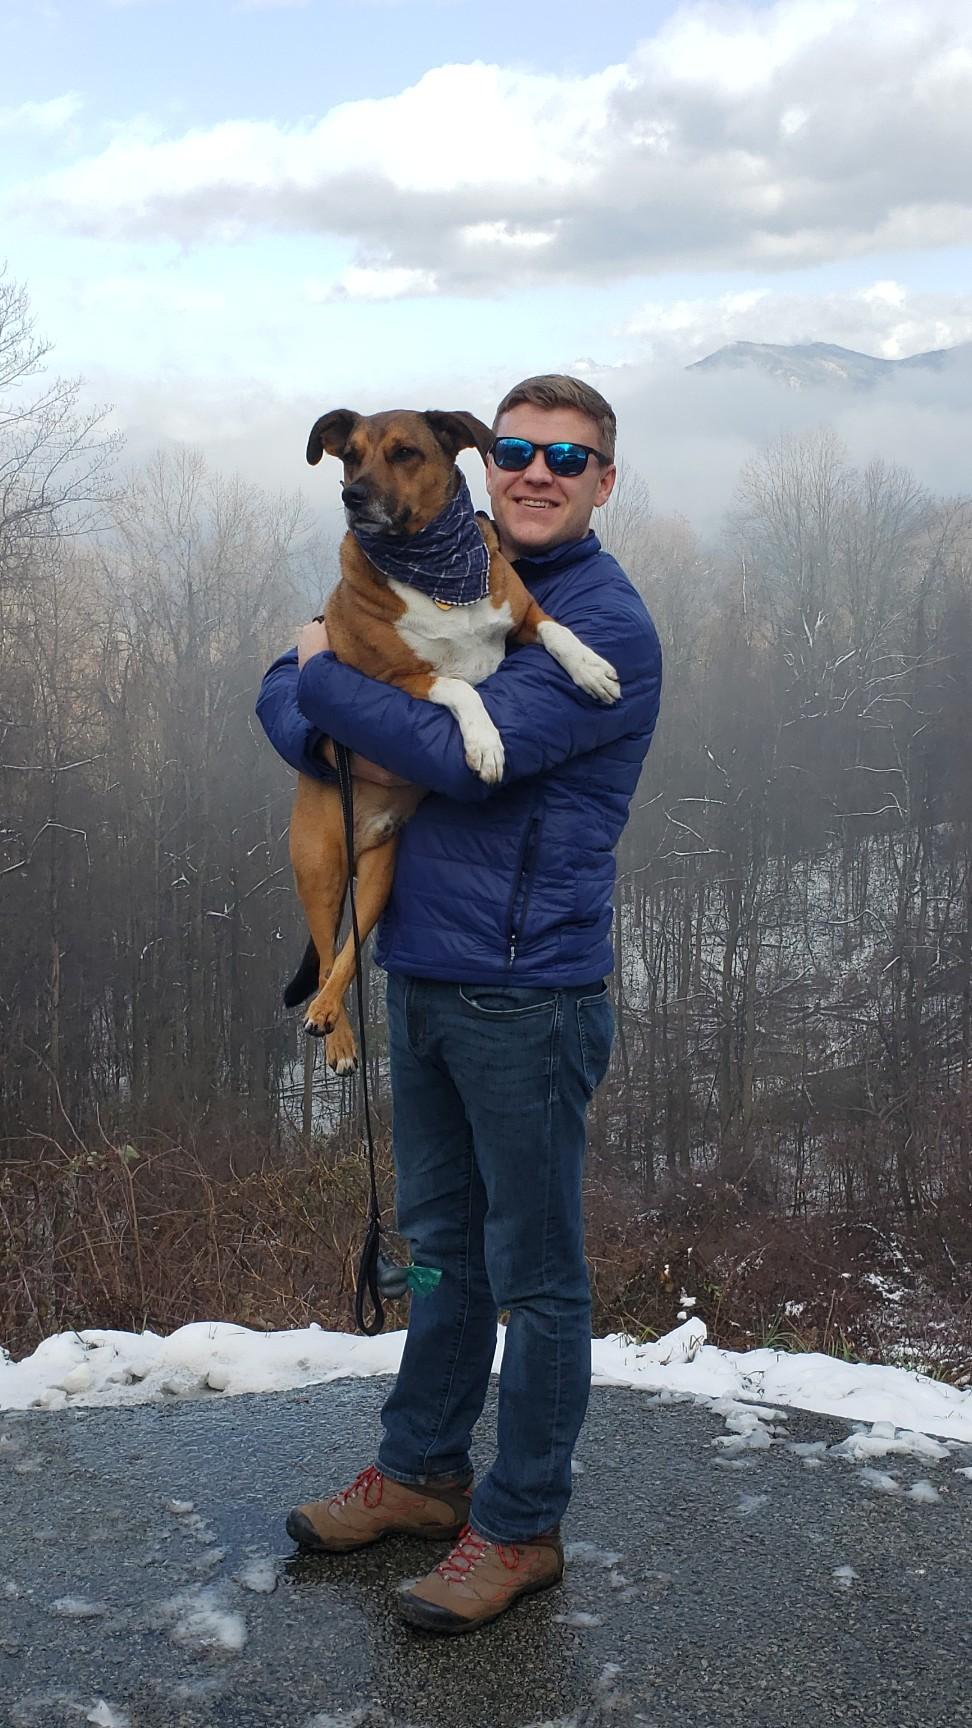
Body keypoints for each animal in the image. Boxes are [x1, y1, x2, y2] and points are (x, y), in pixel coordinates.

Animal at [285, 409, 612, 1071]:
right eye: (349, 455)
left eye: (405, 453)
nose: (353, 496)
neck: (438, 572)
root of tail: (360, 837)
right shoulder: (396, 680)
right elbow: (461, 687)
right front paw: (486, 747)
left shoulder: (524, 614)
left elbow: (560, 630)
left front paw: (592, 667)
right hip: (320, 868)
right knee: (327, 954)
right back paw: (335, 1032)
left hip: (380, 879)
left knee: (351, 952)